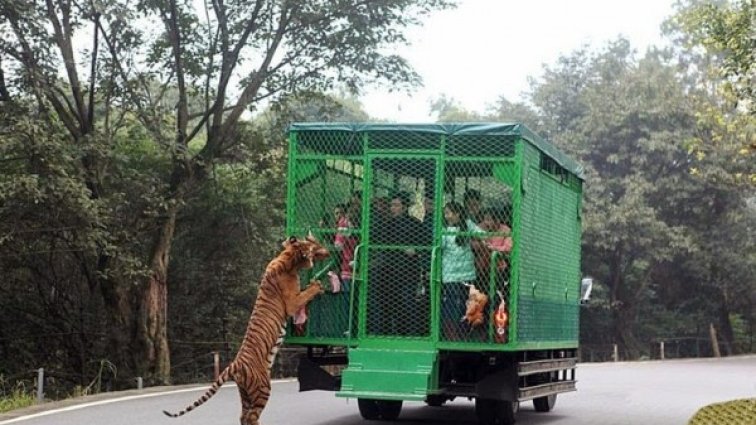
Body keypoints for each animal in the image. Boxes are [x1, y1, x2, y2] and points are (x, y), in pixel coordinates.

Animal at [164, 234, 330, 422]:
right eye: (314, 245)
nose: (327, 251)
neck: (287, 257)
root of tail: (234, 365)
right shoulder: (292, 302)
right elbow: (306, 294)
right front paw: (317, 286)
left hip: (245, 392)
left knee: (243, 416)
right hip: (263, 387)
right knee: (251, 416)